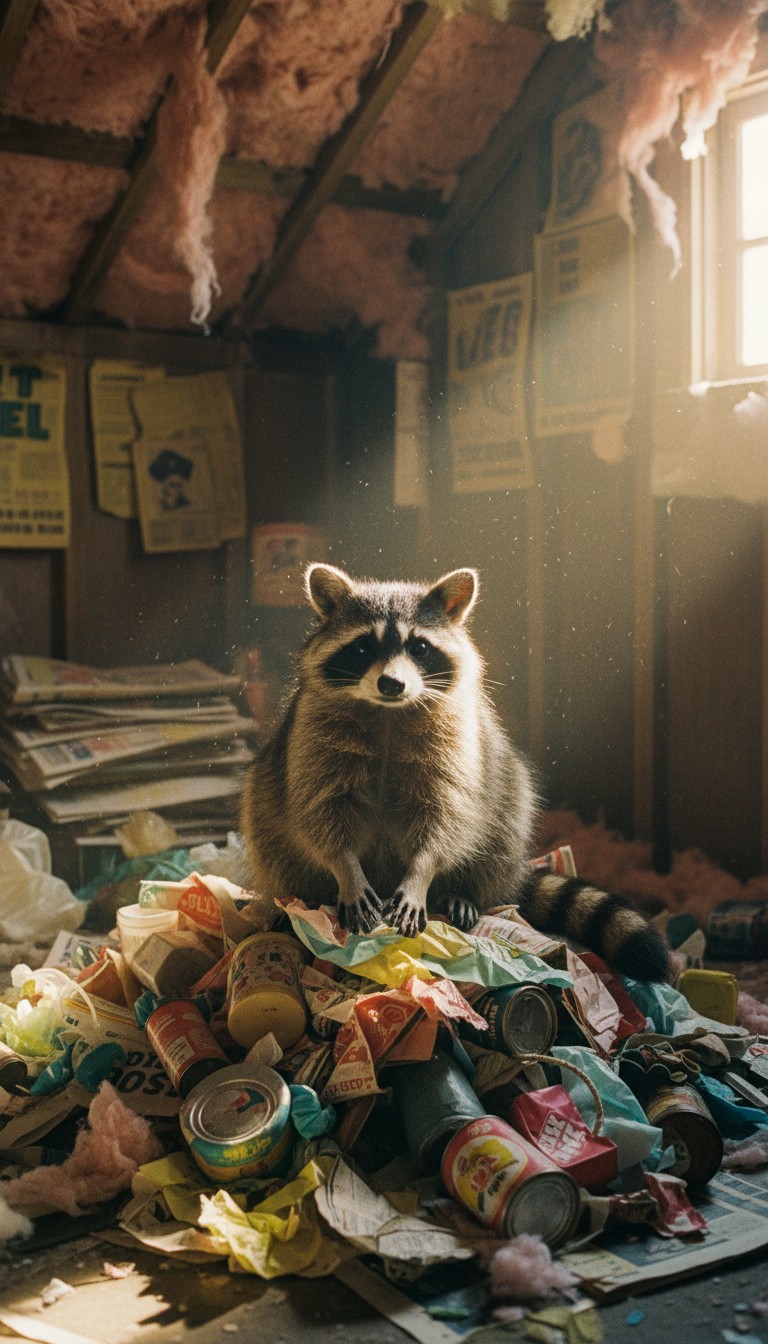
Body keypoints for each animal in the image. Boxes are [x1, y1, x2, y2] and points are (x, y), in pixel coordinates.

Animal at [240, 563, 669, 982]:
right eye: (363, 645)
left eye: (419, 647)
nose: (391, 684)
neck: (388, 713)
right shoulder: (310, 740)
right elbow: (319, 811)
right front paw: (346, 868)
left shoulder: (456, 746)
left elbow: (446, 816)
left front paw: (422, 871)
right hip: (267, 810)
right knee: (269, 833)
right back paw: (301, 902)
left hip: (504, 797)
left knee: (505, 813)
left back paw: (464, 891)